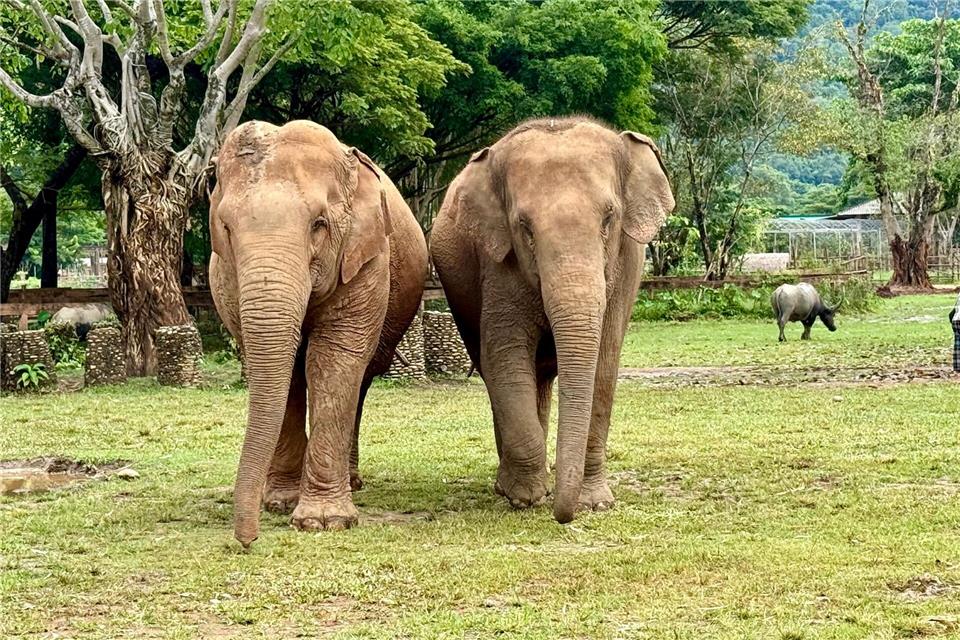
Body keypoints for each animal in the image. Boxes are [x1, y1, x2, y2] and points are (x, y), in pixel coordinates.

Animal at [209, 120, 428, 547]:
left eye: (319, 224)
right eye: (226, 227)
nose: (246, 541)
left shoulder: (366, 260)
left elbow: (333, 360)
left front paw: (324, 522)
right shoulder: (227, 278)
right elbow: (284, 372)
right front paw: (279, 503)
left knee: (361, 379)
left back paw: (353, 482)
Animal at [430, 117, 675, 524]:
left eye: (609, 218)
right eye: (525, 227)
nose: (564, 516)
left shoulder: (626, 265)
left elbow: (604, 366)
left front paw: (595, 503)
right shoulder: (498, 265)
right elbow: (504, 359)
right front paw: (525, 498)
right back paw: (512, 484)